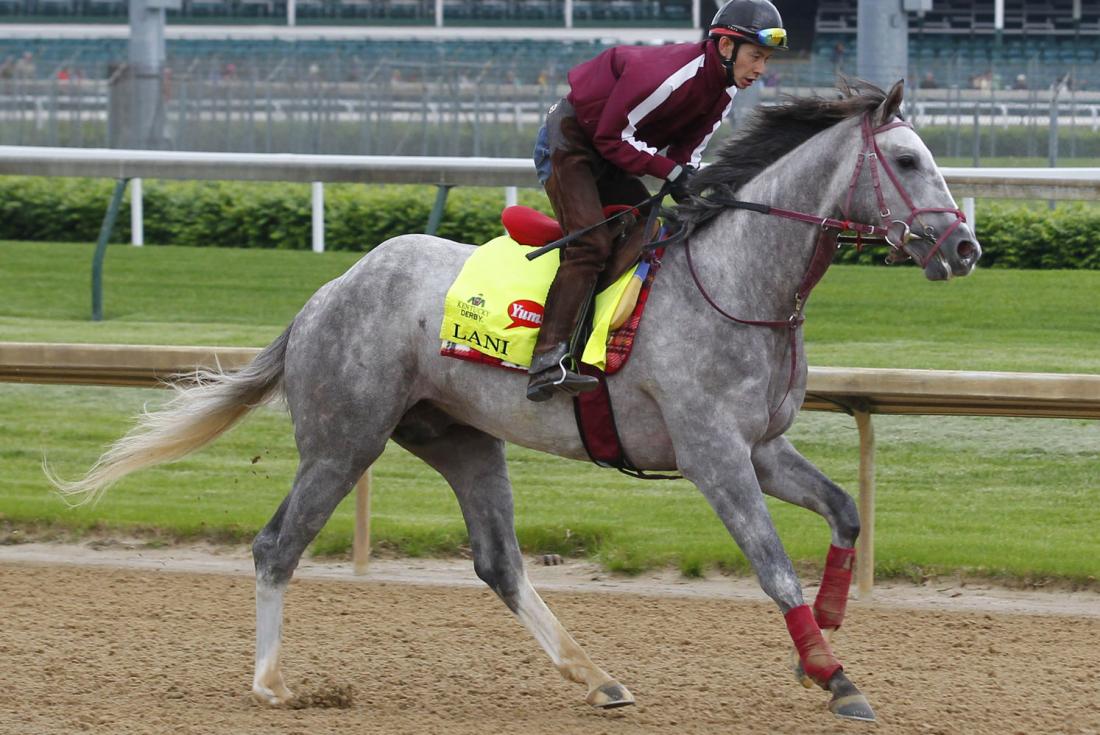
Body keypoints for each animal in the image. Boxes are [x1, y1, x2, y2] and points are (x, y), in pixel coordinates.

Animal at [49, 80, 980, 723]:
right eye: (906, 160)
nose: (965, 247)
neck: (737, 278)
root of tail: (326, 294)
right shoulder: (711, 452)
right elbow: (771, 562)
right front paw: (834, 675)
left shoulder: (760, 445)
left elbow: (845, 511)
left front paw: (825, 628)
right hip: (344, 441)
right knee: (277, 544)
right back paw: (272, 683)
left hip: (461, 439)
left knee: (498, 561)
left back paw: (597, 677)